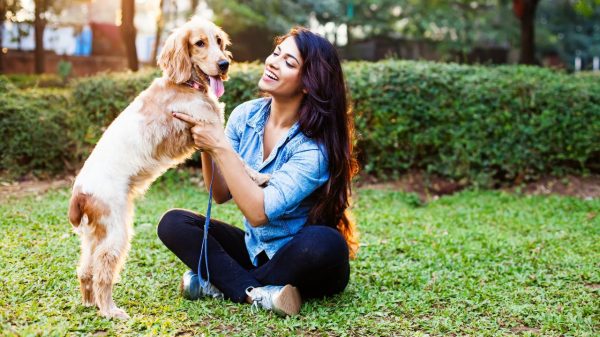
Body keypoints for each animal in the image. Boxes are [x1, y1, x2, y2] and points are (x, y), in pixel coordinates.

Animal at [67, 17, 268, 318]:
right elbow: (240, 160)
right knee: (103, 270)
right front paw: (259, 177)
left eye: (219, 41)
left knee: (85, 269)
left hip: (94, 235)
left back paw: (91, 303)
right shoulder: (209, 128)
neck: (185, 84)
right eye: (199, 43)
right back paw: (110, 311)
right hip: (116, 232)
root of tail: (79, 191)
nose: (224, 64)